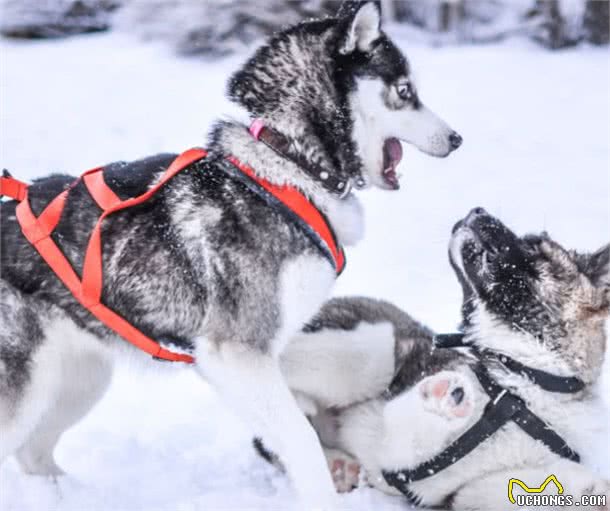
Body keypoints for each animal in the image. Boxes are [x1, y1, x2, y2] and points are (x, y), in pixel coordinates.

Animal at [0, 0, 456, 508]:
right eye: (405, 91)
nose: (456, 138)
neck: (288, 167)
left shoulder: (253, 361)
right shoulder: (237, 354)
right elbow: (302, 439)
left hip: (78, 380)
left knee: (34, 454)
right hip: (28, 390)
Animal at [262, 209, 608, 511]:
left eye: (534, 246)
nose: (477, 209)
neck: (526, 382)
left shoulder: (475, 490)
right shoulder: (394, 437)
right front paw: (444, 397)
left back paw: (337, 464)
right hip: (370, 349)